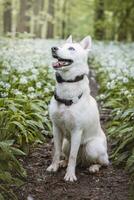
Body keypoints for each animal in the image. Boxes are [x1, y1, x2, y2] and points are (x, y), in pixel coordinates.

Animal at [46, 35, 109, 181]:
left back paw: (94, 167)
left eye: (71, 48)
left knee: (102, 162)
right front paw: (54, 166)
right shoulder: (56, 128)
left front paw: (70, 175)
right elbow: (56, 152)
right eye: (61, 45)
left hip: (92, 147)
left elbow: (73, 157)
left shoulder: (76, 131)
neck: (68, 84)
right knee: (68, 155)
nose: (53, 48)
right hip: (66, 143)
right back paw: (63, 163)